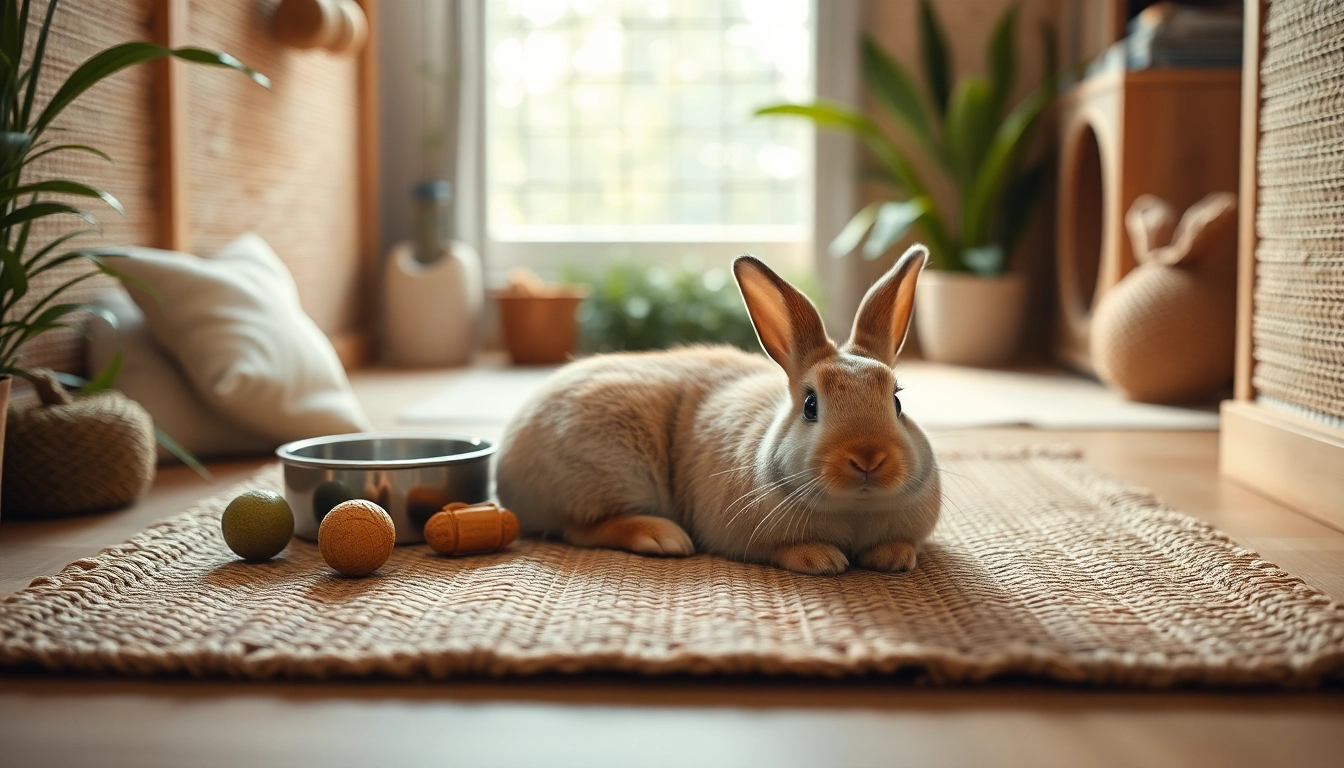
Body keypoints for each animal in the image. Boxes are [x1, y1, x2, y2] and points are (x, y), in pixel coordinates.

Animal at [494, 244, 940, 575]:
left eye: (897, 401)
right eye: (811, 405)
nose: (868, 458)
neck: (854, 509)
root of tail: (509, 459)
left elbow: (900, 543)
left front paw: (894, 557)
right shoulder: (746, 537)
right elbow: (784, 550)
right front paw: (821, 558)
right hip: (612, 475)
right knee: (580, 529)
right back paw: (663, 537)